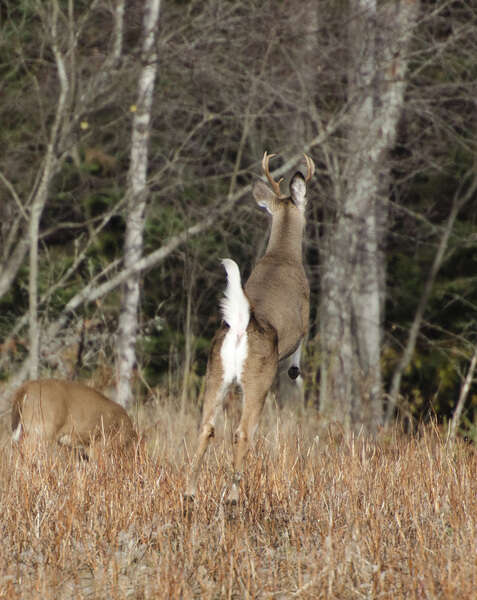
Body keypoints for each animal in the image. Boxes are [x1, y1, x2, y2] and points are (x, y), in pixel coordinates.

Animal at [184, 152, 314, 504]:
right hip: (258, 379)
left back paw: (189, 490)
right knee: (243, 432)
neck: (282, 256)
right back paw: (231, 493)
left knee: (206, 427)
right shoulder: (305, 317)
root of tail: (241, 326)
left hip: (215, 373)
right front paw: (295, 370)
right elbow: (301, 342)